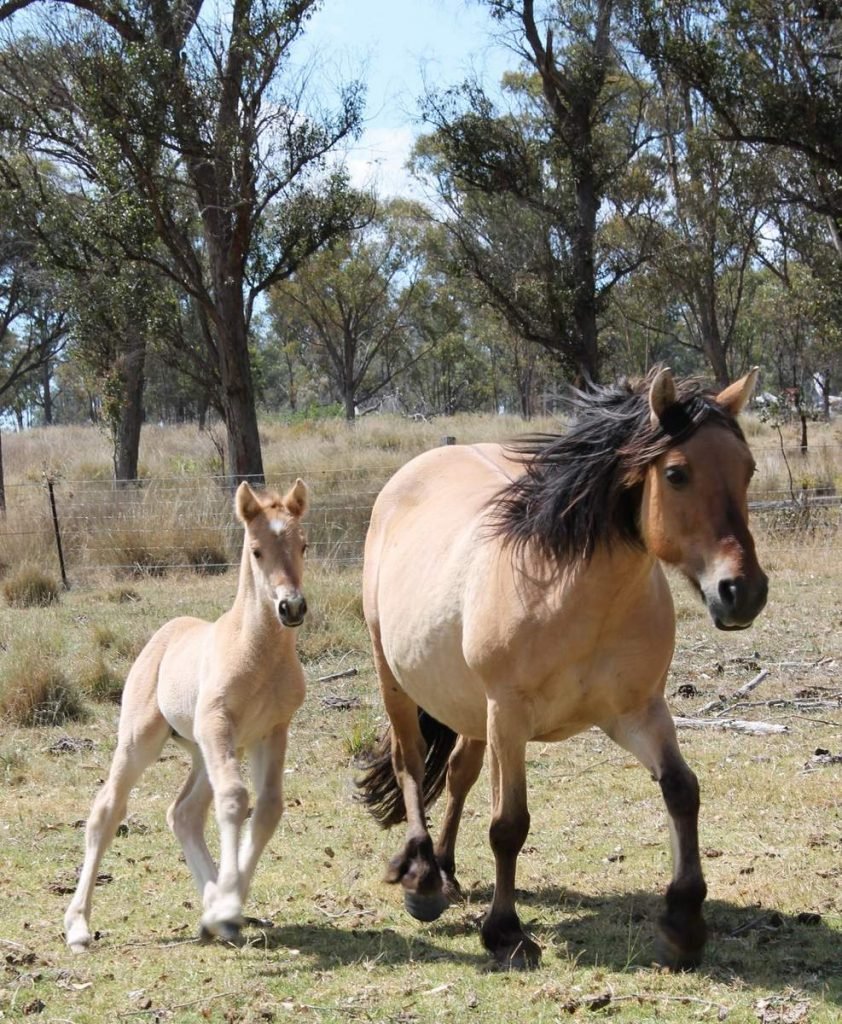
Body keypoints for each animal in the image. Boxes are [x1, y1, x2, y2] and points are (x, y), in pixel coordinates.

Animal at [65, 479, 309, 950]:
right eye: (256, 550)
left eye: (303, 544)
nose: (291, 607)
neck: (257, 654)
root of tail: (165, 632)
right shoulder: (219, 723)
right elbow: (235, 798)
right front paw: (227, 907)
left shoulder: (272, 730)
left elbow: (268, 809)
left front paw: (224, 909)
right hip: (141, 740)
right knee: (106, 811)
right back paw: (78, 926)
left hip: (201, 750)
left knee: (183, 814)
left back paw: (214, 905)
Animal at [358, 366, 766, 966]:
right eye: (676, 473)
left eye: (747, 468)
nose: (743, 593)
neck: (572, 595)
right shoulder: (509, 717)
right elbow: (509, 825)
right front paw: (505, 933)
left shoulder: (637, 712)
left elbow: (682, 789)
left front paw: (683, 921)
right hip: (398, 682)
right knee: (411, 766)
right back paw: (423, 879)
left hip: (469, 707)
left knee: (457, 774)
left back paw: (448, 871)